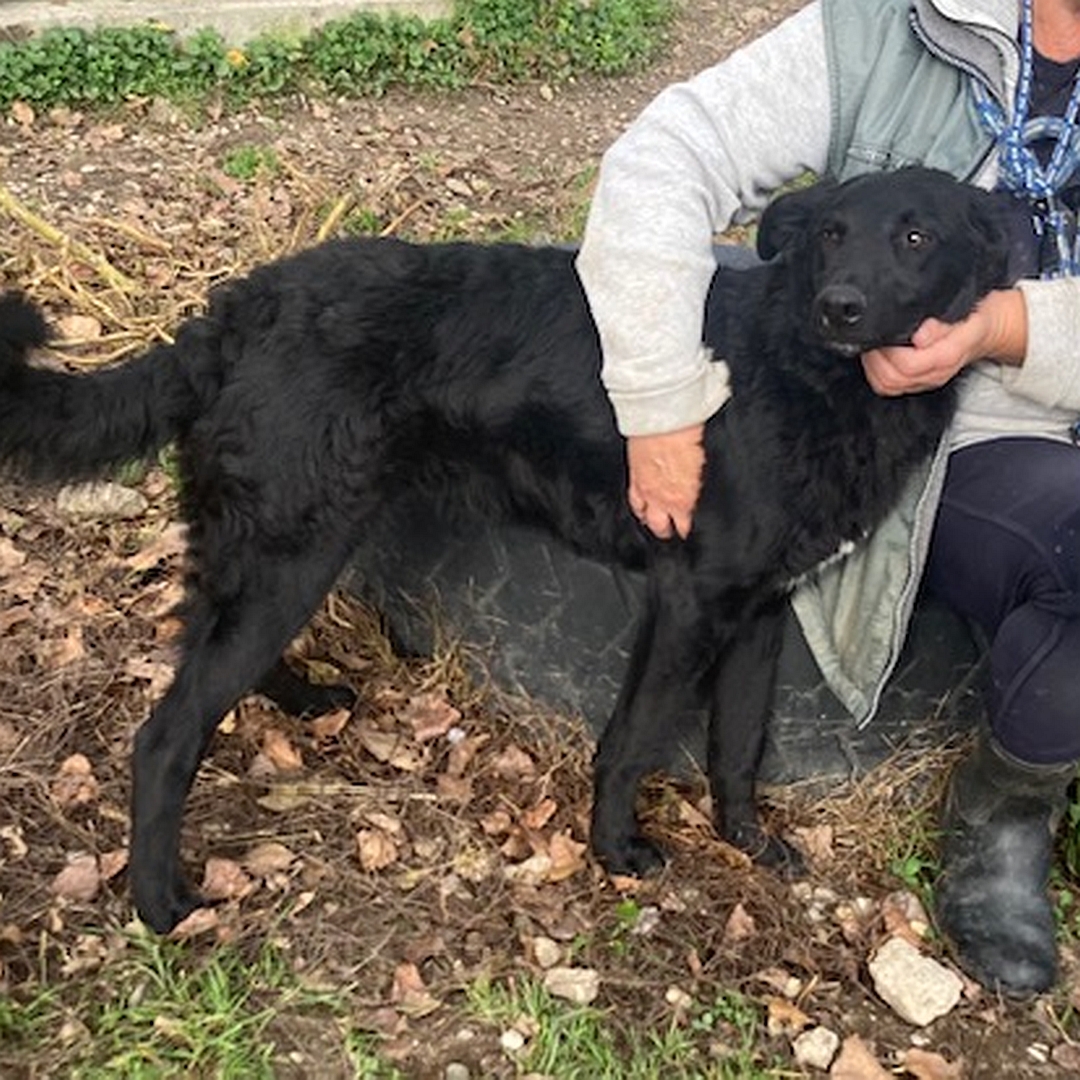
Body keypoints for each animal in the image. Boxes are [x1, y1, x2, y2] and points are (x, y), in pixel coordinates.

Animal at [0, 166, 1010, 928]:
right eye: (831, 234)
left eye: (915, 238)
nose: (842, 308)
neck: (801, 369)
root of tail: (242, 305)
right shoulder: (689, 600)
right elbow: (635, 736)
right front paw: (615, 849)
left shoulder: (757, 613)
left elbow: (739, 746)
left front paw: (747, 841)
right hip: (295, 552)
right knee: (167, 733)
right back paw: (160, 904)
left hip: (272, 546)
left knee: (209, 648)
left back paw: (298, 700)